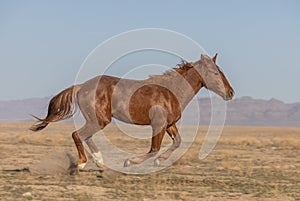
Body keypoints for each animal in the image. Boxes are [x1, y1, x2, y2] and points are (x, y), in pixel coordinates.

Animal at [29, 53, 234, 170]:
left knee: (86, 136)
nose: (230, 93)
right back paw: (83, 163)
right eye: (215, 73)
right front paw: (129, 162)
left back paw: (100, 162)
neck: (171, 90)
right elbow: (153, 149)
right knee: (78, 135)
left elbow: (177, 143)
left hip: (96, 121)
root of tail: (81, 87)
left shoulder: (169, 124)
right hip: (99, 120)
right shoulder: (158, 125)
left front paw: (159, 161)